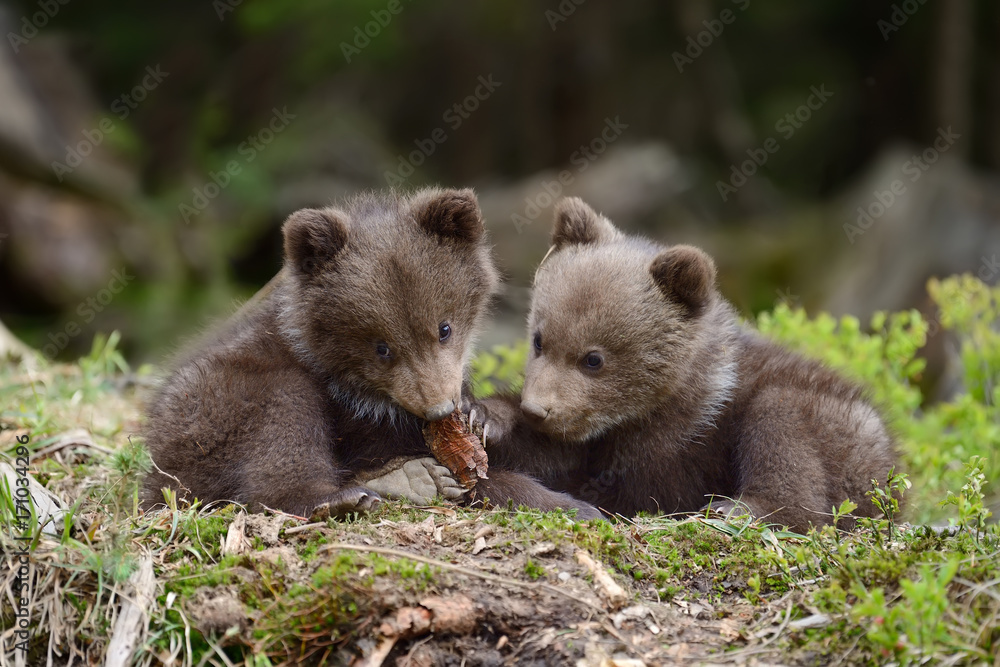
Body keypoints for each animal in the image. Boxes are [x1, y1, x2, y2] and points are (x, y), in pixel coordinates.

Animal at [141, 188, 600, 519]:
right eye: (382, 347)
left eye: (444, 328)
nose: (438, 407)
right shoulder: (360, 418)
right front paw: (576, 507)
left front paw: (480, 416)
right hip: (213, 410)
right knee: (280, 426)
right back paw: (359, 493)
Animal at [468, 197, 901, 532]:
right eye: (539, 339)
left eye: (594, 358)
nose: (537, 409)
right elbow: (552, 453)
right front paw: (484, 417)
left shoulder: (679, 441)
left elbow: (624, 484)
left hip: (840, 432)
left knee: (785, 429)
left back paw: (733, 507)